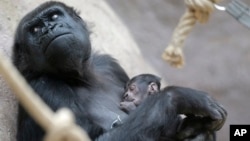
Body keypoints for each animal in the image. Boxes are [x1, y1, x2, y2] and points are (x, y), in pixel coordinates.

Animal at [12, 1, 227, 141]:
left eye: (54, 16)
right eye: (35, 30)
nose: (49, 29)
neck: (83, 77)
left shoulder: (109, 65)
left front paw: (196, 127)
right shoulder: (43, 87)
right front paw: (181, 96)